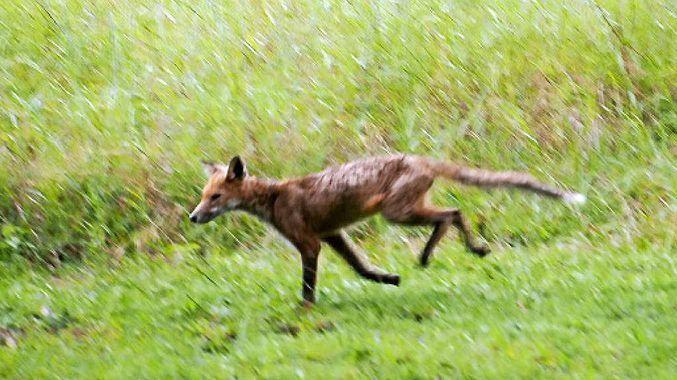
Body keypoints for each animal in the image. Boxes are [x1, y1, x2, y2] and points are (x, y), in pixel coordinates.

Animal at [187, 154, 584, 306]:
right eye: (203, 196)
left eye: (215, 197)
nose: (192, 217)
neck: (273, 198)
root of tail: (422, 158)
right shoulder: (332, 235)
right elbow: (361, 269)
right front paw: (388, 279)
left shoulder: (310, 243)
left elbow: (308, 285)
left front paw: (305, 310)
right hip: (403, 211)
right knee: (451, 215)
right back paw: (450, 252)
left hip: (398, 213)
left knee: (452, 213)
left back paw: (443, 252)